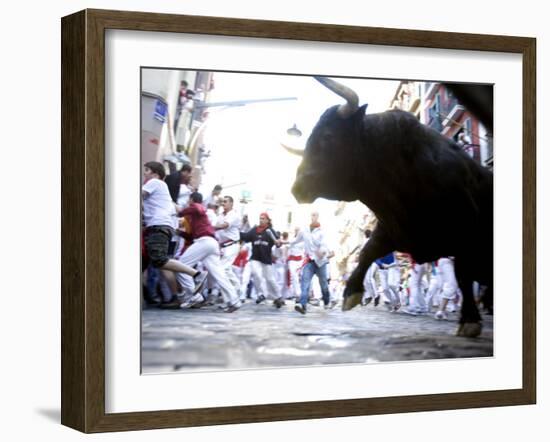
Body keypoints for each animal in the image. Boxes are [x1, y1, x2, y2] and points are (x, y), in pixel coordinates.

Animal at [292, 77, 494, 338]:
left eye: (327, 136)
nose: (296, 188)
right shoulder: (393, 229)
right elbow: (367, 251)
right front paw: (351, 293)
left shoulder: (465, 231)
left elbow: (462, 275)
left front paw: (469, 320)